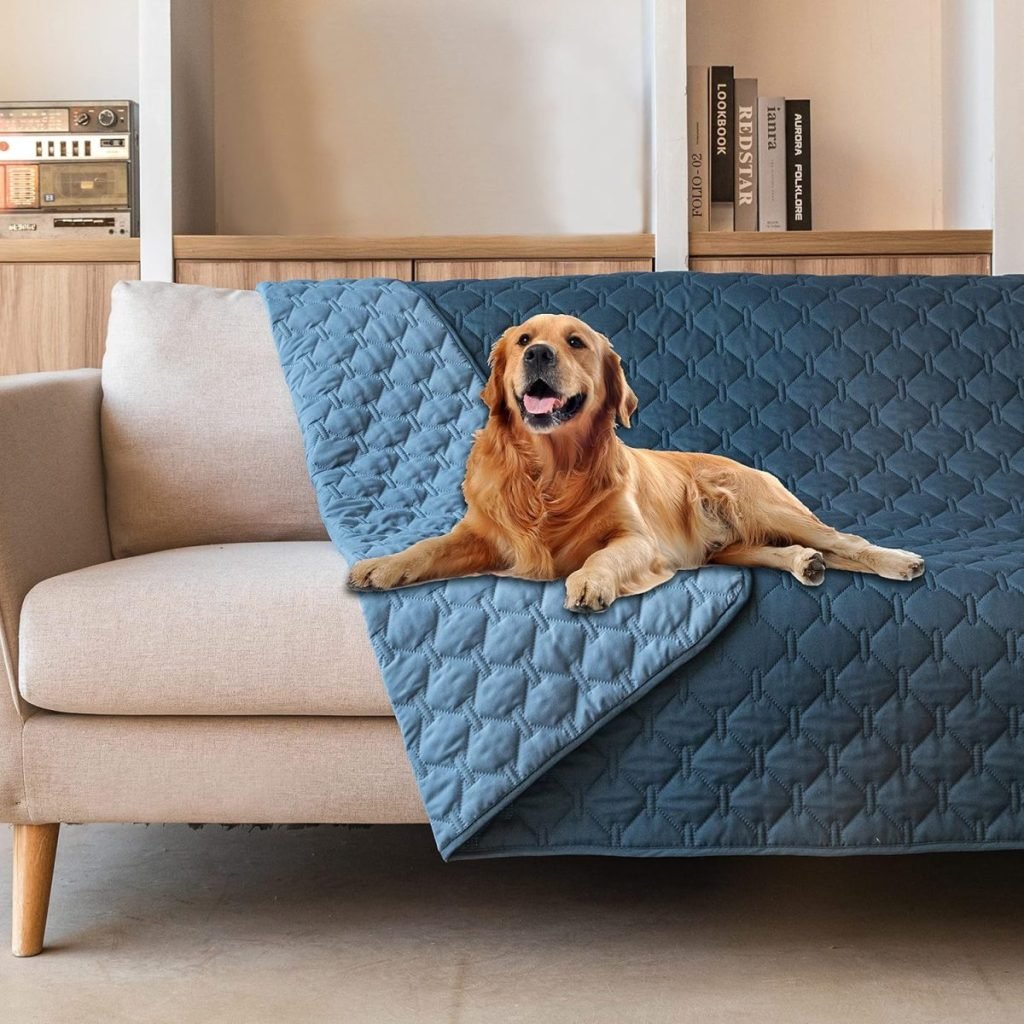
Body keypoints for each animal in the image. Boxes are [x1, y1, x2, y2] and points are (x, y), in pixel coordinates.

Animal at [346, 315, 929, 610]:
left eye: (575, 342)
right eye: (523, 340)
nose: (538, 354)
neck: (549, 472)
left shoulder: (638, 540)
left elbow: (605, 556)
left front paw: (590, 582)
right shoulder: (483, 533)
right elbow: (427, 547)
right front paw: (381, 565)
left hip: (760, 506)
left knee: (845, 540)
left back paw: (900, 561)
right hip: (730, 548)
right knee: (791, 551)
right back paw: (805, 563)